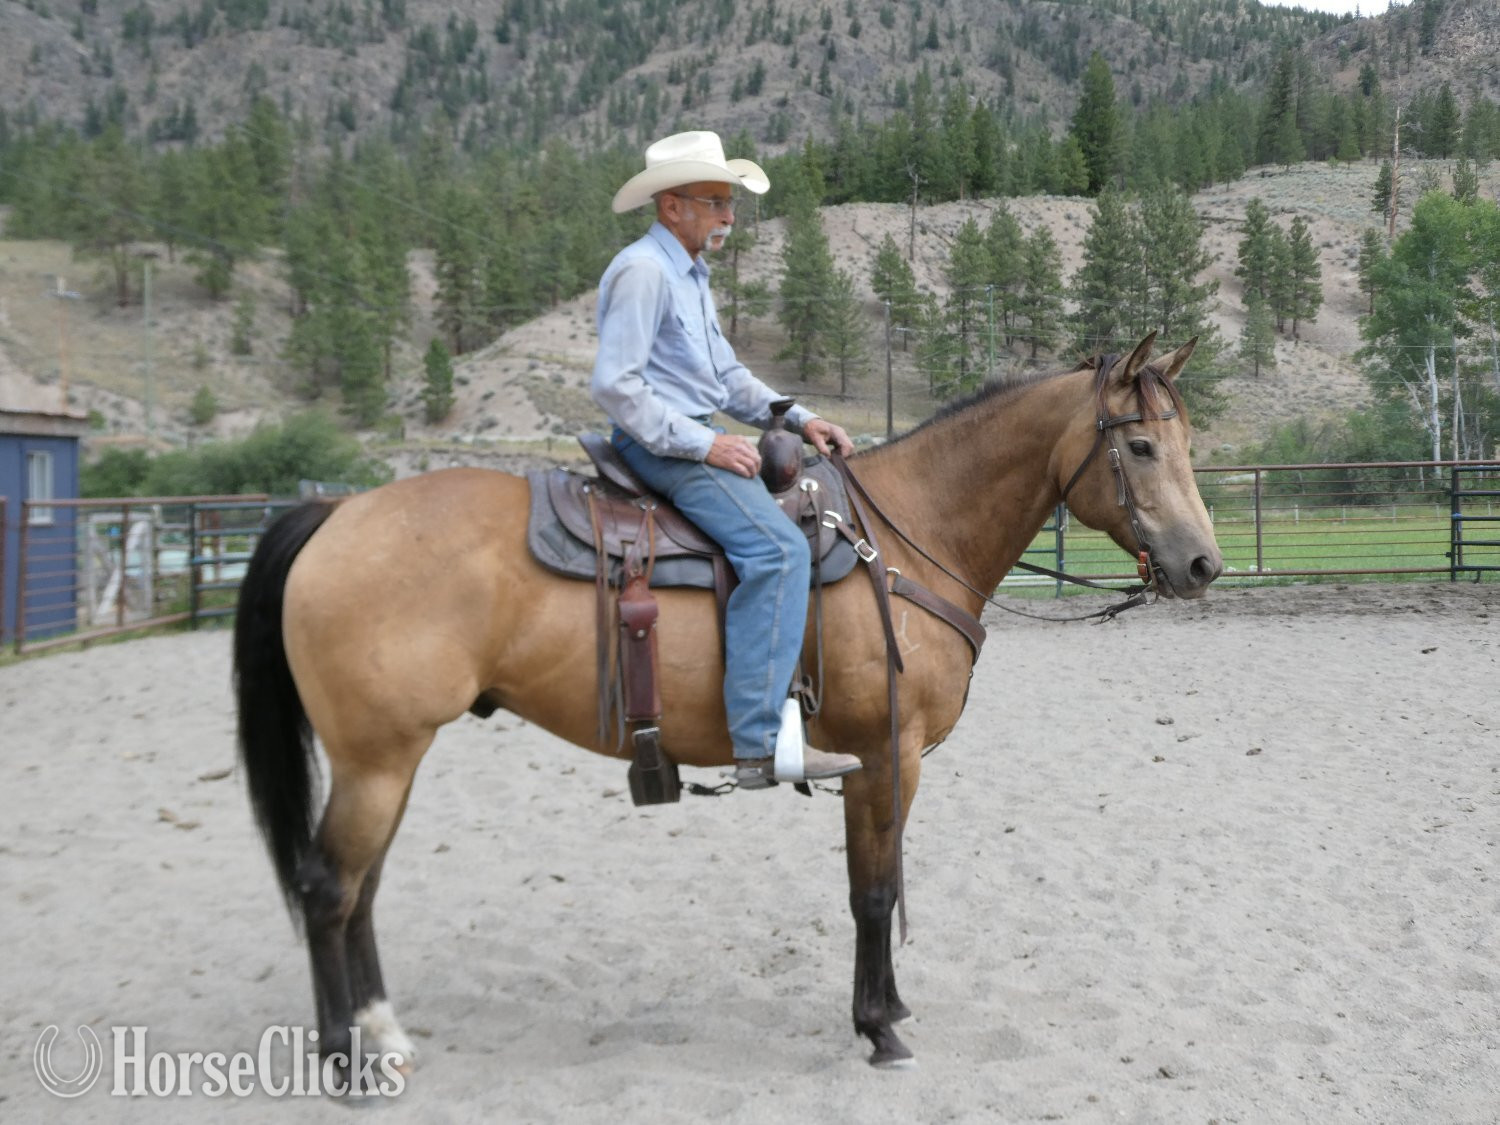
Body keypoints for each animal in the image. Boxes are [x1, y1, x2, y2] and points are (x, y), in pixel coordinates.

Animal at [233, 331, 1222, 1076]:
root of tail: (336, 515)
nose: (1204, 563)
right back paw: (343, 1059)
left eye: (1187, 445)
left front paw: (889, 1006)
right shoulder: (882, 753)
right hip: (376, 756)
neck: (906, 536)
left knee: (361, 889)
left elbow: (879, 884)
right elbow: (873, 891)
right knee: (328, 886)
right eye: (1140, 446)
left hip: (390, 758)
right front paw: (879, 1027)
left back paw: (382, 1033)